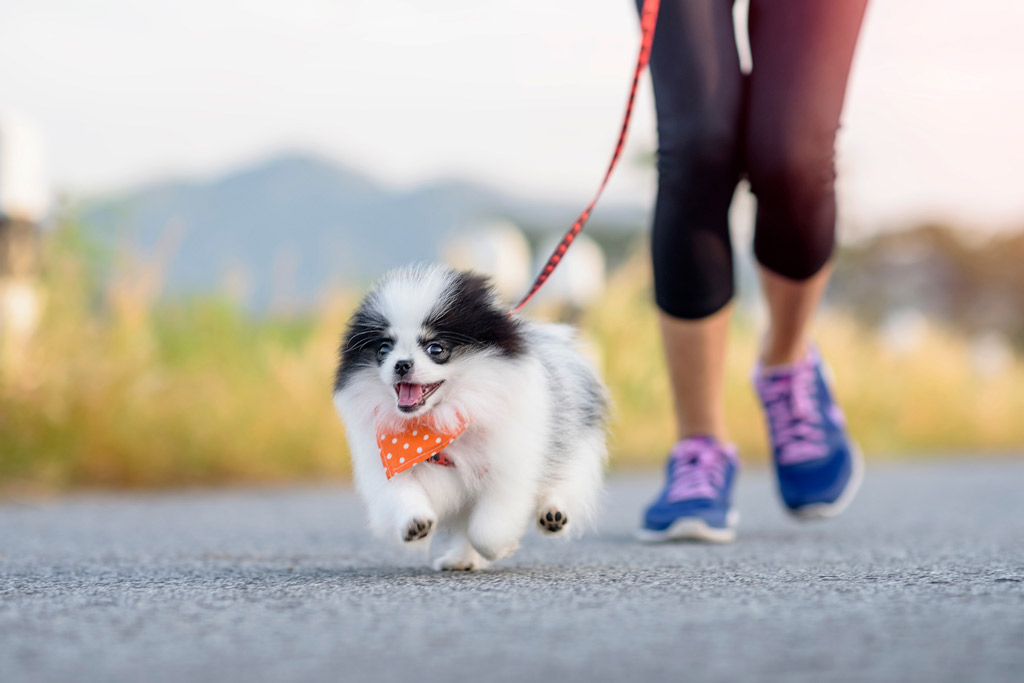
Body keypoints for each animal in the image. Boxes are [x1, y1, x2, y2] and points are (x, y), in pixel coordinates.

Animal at [333, 266, 606, 573]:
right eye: (383, 349)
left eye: (436, 349)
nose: (401, 364)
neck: (438, 424)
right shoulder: (391, 461)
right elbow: (402, 495)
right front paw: (415, 523)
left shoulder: (507, 466)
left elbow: (487, 530)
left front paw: (501, 547)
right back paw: (461, 559)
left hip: (573, 443)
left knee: (563, 483)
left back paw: (553, 515)